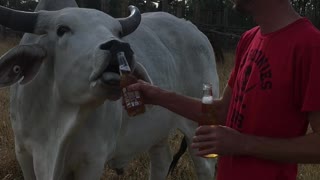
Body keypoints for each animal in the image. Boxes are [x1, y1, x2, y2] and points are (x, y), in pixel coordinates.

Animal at [0, 0, 219, 179]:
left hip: (196, 126)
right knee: (162, 160)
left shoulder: (92, 160)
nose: (118, 46)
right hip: (157, 132)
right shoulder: (25, 154)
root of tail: (194, 30)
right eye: (62, 29)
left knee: (205, 168)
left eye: (118, 32)